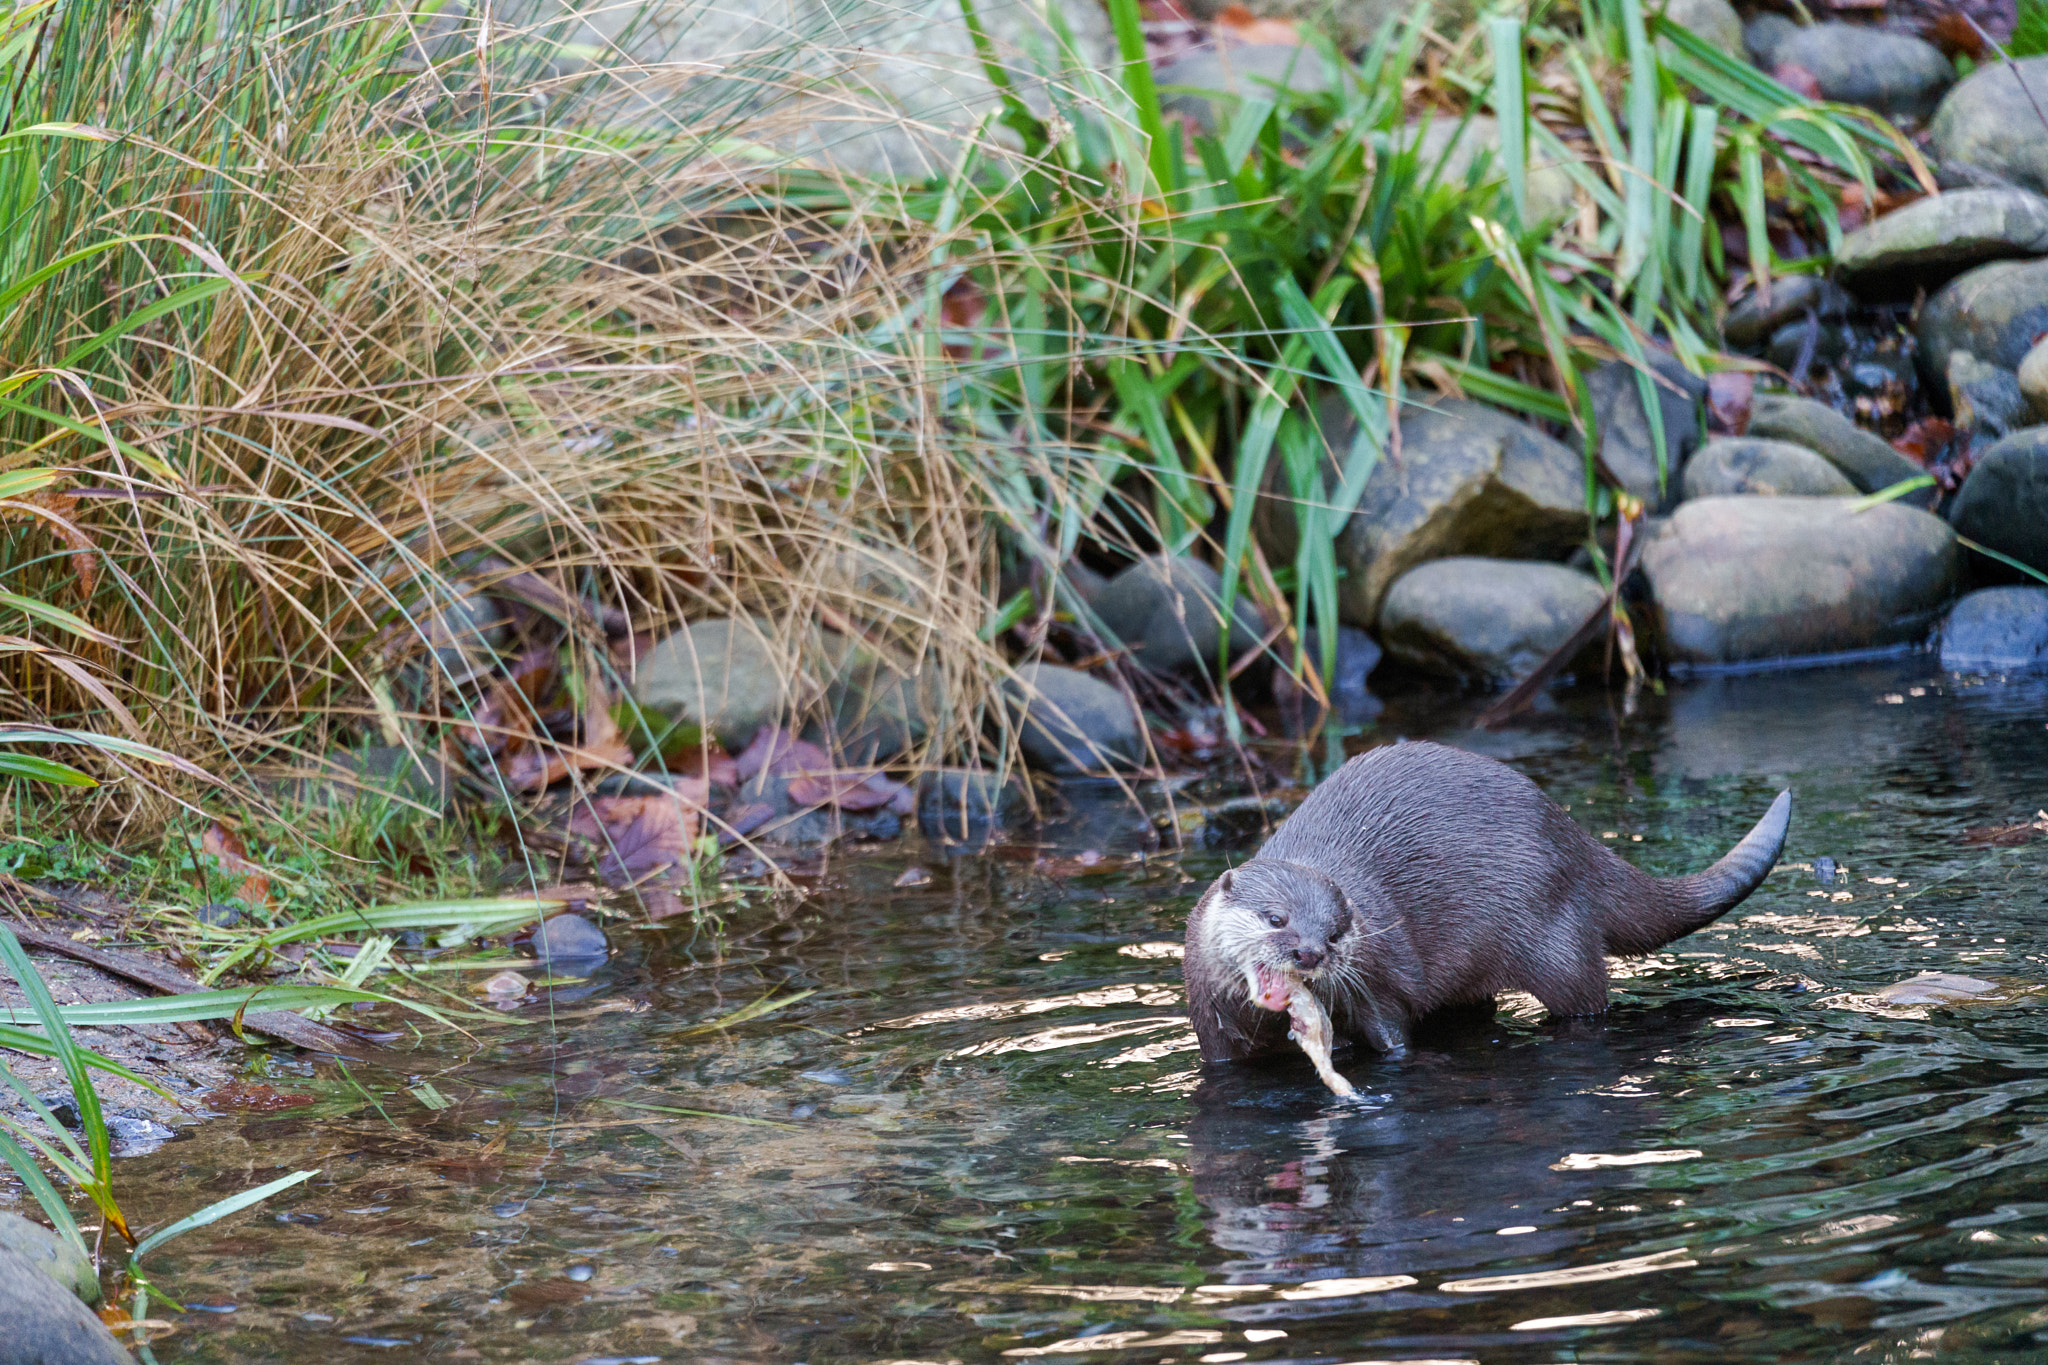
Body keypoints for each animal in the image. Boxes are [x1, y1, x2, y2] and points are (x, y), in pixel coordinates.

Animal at [1187, 736, 1794, 1064]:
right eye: (1276, 918)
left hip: (1554, 941)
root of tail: (1572, 838)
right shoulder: (1211, 1030)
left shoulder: (1378, 982)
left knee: (1587, 999)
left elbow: (1393, 1033)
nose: (1311, 952)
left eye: (1337, 930)